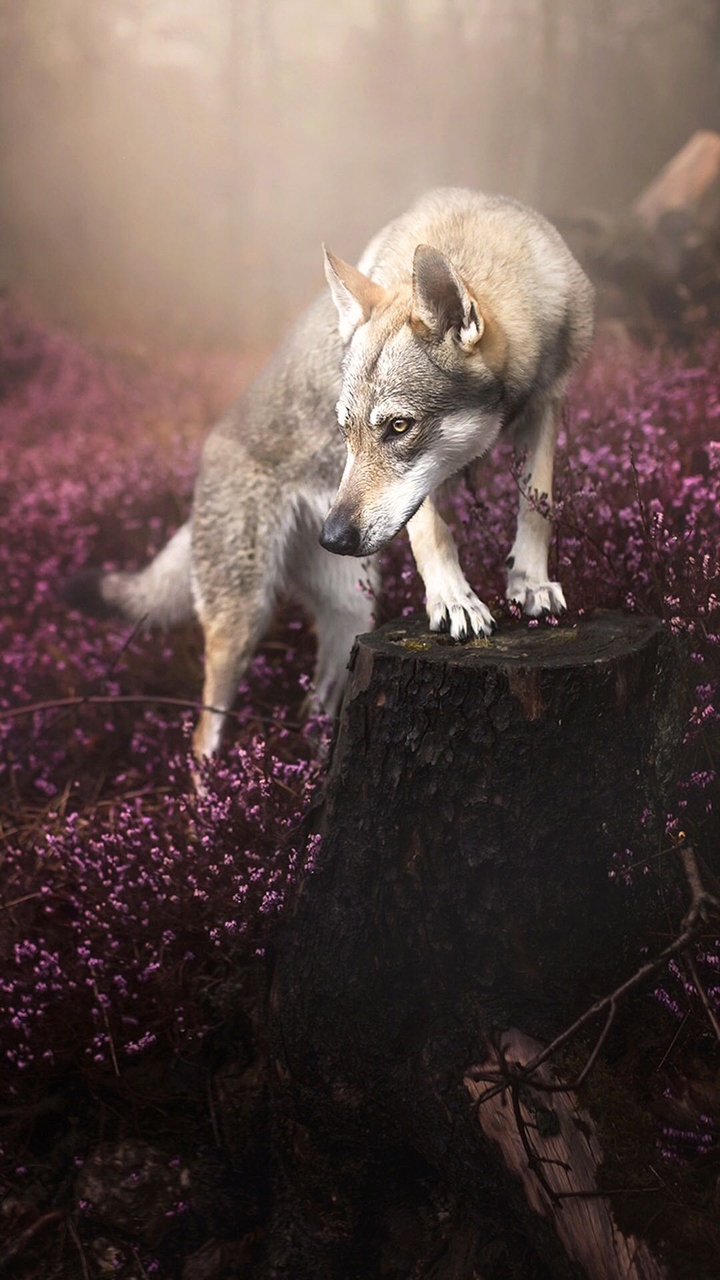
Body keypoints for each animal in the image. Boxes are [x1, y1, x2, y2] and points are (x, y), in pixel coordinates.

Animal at [66, 188, 594, 760]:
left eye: (399, 426)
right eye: (345, 432)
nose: (333, 538)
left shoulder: (548, 404)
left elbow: (538, 505)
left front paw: (530, 583)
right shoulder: (425, 492)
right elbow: (434, 533)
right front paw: (454, 601)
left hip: (352, 617)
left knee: (316, 708)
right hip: (243, 623)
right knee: (204, 737)